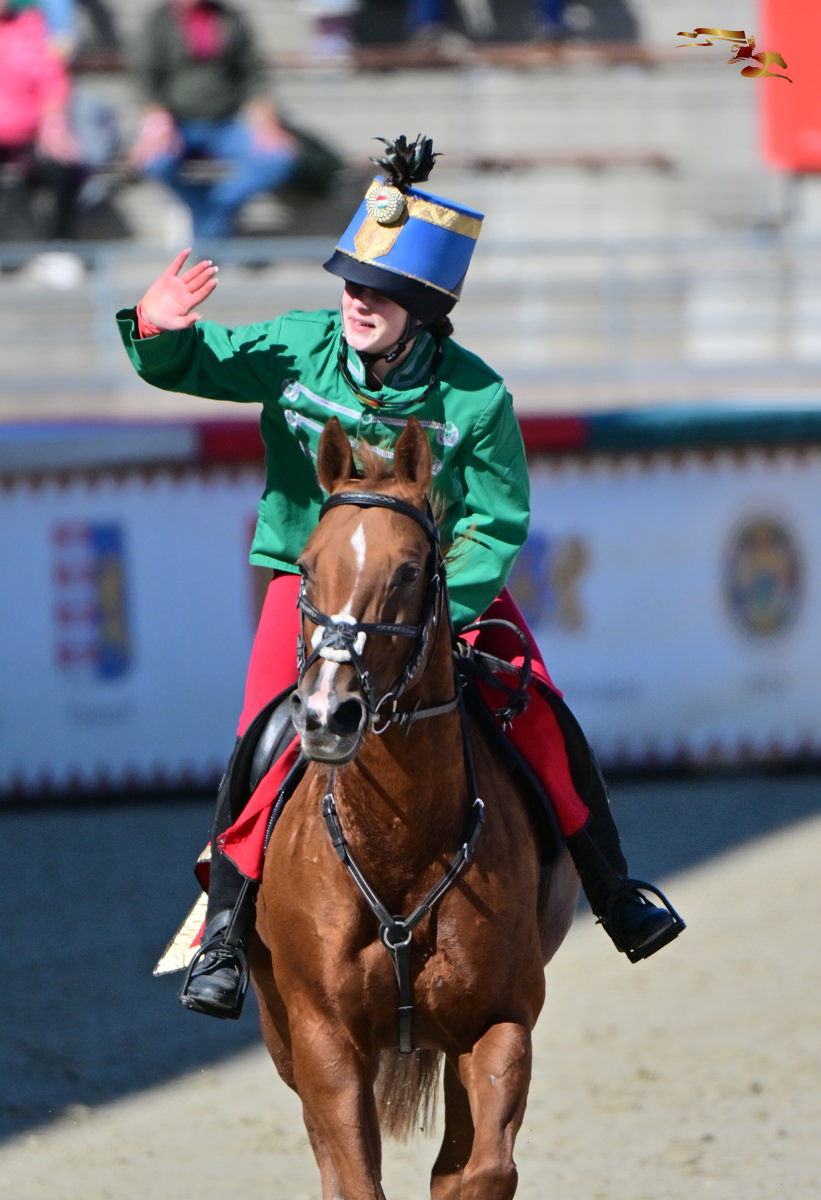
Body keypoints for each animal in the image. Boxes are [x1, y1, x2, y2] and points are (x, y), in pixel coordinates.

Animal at [247, 414, 580, 1200]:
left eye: (406, 571)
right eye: (306, 565)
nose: (327, 713)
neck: (397, 842)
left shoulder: (497, 1021)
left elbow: (481, 1171)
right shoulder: (324, 1041)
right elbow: (353, 1178)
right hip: (284, 1035)